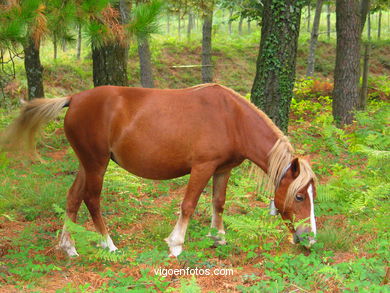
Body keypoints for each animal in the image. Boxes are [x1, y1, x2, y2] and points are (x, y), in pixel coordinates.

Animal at [0, 82, 316, 256]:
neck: (231, 118)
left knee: (73, 198)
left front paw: (218, 237)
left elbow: (218, 203)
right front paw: (175, 244)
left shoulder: (222, 170)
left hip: (86, 164)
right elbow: (188, 205)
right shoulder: (202, 167)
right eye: (300, 196)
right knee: (91, 199)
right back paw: (108, 244)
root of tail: (74, 99)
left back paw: (68, 247)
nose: (310, 238)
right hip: (96, 164)